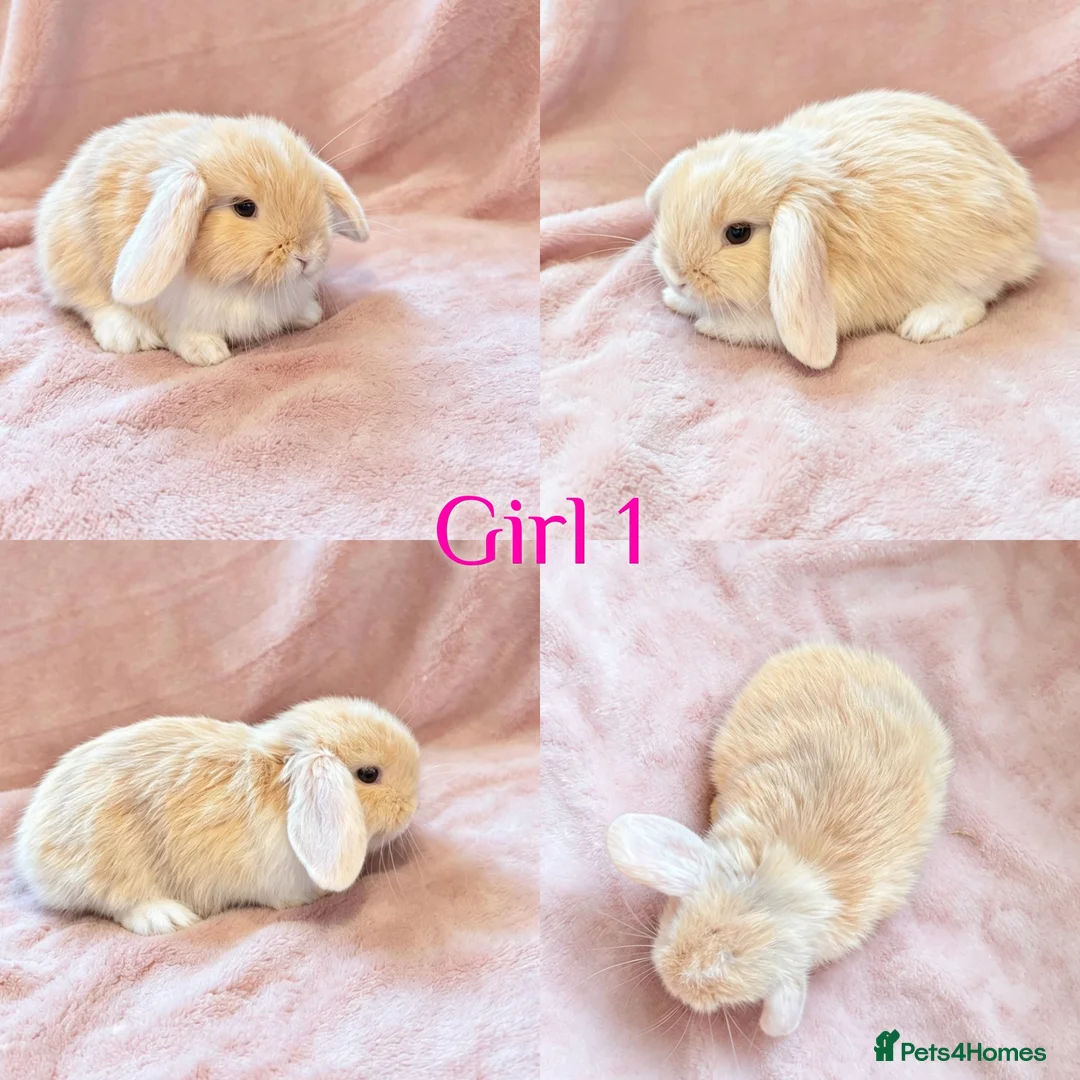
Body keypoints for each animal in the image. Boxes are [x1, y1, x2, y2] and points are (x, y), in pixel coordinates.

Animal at [15, 696, 419, 934]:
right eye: (368, 774)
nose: (412, 806)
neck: (281, 784)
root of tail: (29, 849)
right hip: (110, 860)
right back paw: (167, 917)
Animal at [35, 112, 369, 367]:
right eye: (244, 207)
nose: (305, 254)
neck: (245, 287)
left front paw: (309, 314)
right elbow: (185, 333)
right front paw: (207, 352)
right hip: (73, 261)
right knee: (88, 302)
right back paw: (129, 335)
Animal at [647, 90, 1040, 369]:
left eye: (738, 233)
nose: (677, 276)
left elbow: (741, 326)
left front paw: (704, 322)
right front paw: (674, 298)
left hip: (967, 269)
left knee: (978, 299)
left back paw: (926, 325)